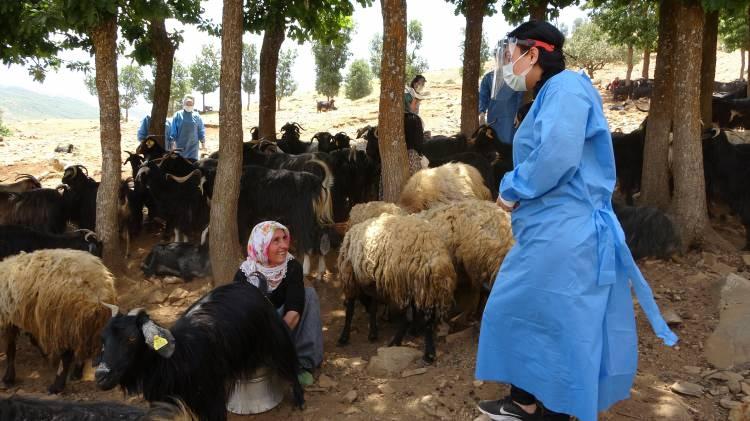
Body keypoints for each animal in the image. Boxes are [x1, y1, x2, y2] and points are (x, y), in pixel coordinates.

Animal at [0, 248, 117, 392]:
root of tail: (97, 291)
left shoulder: (7, 317)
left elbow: (10, 348)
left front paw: (8, 378)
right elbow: (31, 339)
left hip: (64, 321)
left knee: (67, 355)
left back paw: (57, 386)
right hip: (86, 323)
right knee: (84, 347)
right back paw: (77, 374)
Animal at [94, 282, 306, 420]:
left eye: (131, 338)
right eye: (103, 339)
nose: (101, 376)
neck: (175, 361)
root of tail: (251, 287)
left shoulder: (212, 399)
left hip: (277, 340)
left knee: (290, 366)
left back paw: (300, 401)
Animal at [338, 213, 456, 360]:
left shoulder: (350, 276)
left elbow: (350, 309)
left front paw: (344, 337)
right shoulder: (374, 283)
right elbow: (373, 306)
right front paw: (373, 332)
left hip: (405, 283)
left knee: (409, 317)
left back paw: (401, 343)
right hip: (423, 287)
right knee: (426, 318)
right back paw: (425, 348)